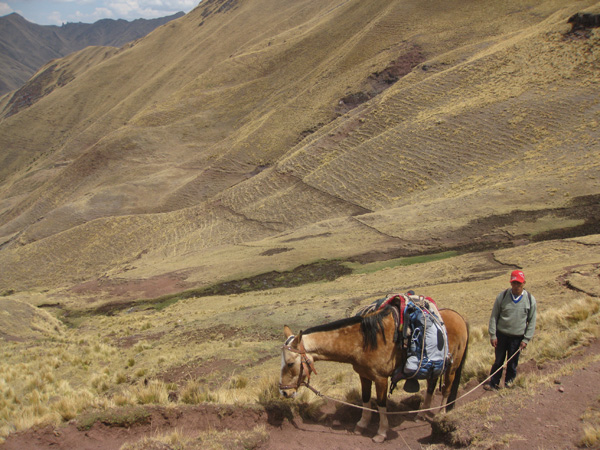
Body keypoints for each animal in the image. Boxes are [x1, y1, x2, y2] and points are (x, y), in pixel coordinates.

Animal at [278, 306, 472, 442]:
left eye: (290, 363)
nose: (284, 392)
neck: (363, 341)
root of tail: (460, 317)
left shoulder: (381, 379)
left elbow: (380, 404)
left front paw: (381, 433)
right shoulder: (364, 376)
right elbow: (365, 399)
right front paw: (361, 424)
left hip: (452, 368)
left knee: (447, 389)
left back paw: (441, 414)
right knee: (431, 386)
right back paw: (421, 414)